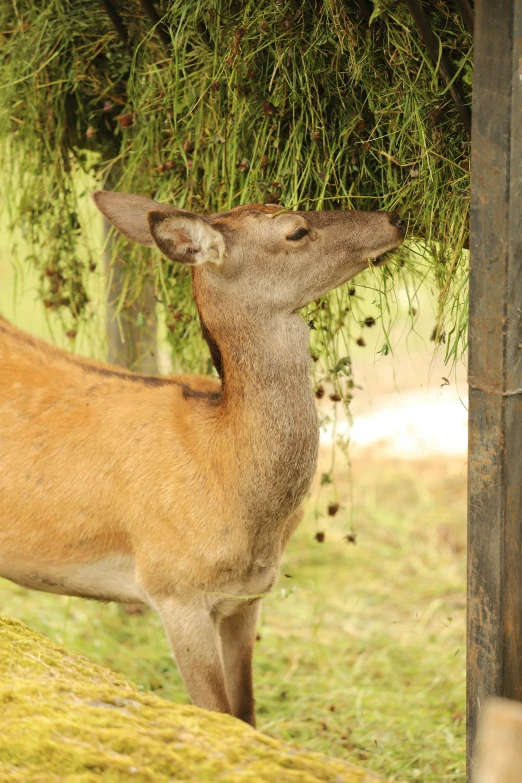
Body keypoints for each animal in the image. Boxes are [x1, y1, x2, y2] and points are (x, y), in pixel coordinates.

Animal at [0, 194, 406, 728]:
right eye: (296, 231)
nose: (394, 218)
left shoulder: (248, 596)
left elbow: (246, 711)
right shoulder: (174, 588)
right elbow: (216, 711)